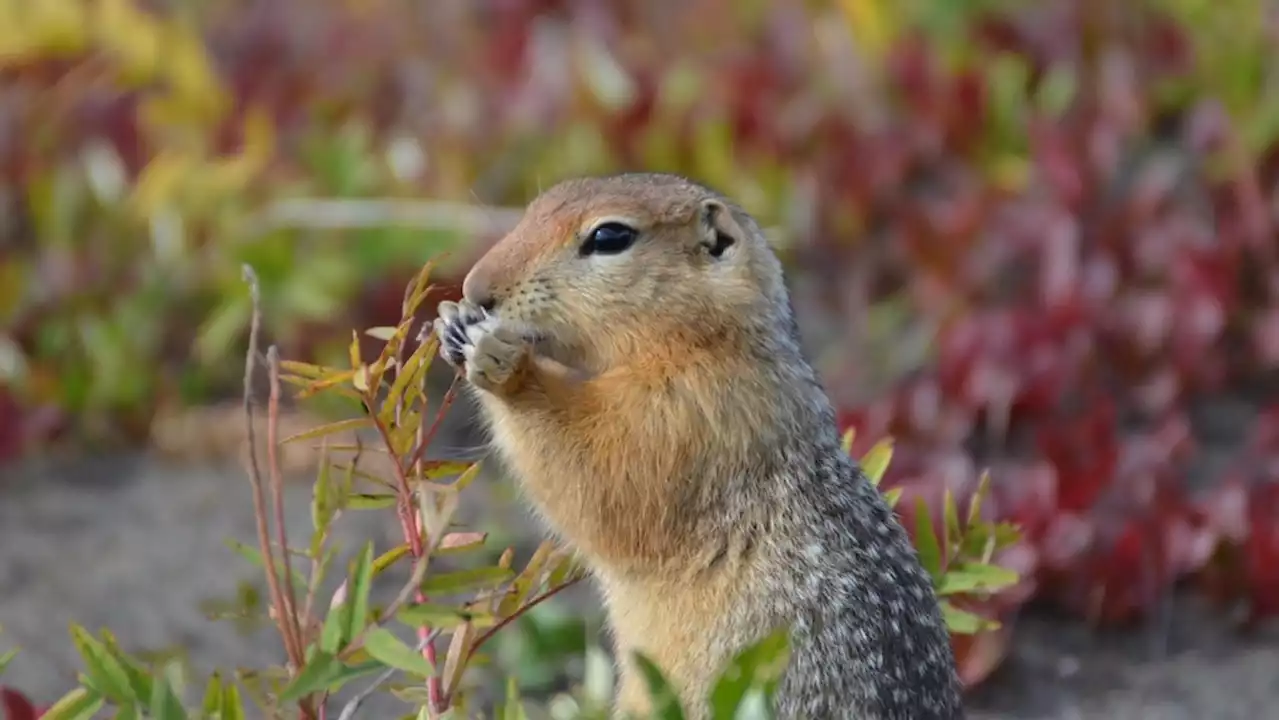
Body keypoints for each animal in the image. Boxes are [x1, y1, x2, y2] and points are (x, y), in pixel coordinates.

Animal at [430, 170, 962, 712]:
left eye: (610, 236)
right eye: (537, 206)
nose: (476, 288)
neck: (710, 341)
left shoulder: (691, 410)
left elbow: (603, 473)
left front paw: (501, 361)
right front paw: (452, 321)